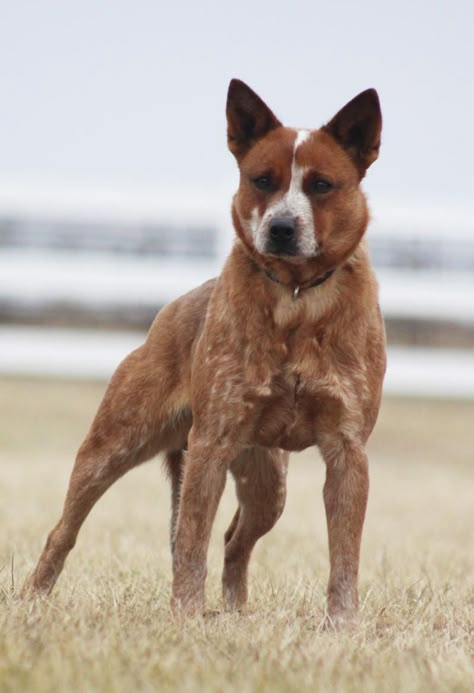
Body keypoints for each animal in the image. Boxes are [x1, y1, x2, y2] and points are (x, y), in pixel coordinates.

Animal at [22, 81, 386, 628]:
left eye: (322, 185)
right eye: (262, 180)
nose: (281, 227)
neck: (296, 296)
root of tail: (170, 310)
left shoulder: (347, 450)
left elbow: (345, 554)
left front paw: (343, 625)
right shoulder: (211, 442)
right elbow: (191, 542)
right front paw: (186, 617)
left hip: (267, 481)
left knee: (236, 540)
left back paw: (235, 609)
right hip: (112, 446)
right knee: (64, 529)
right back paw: (32, 597)